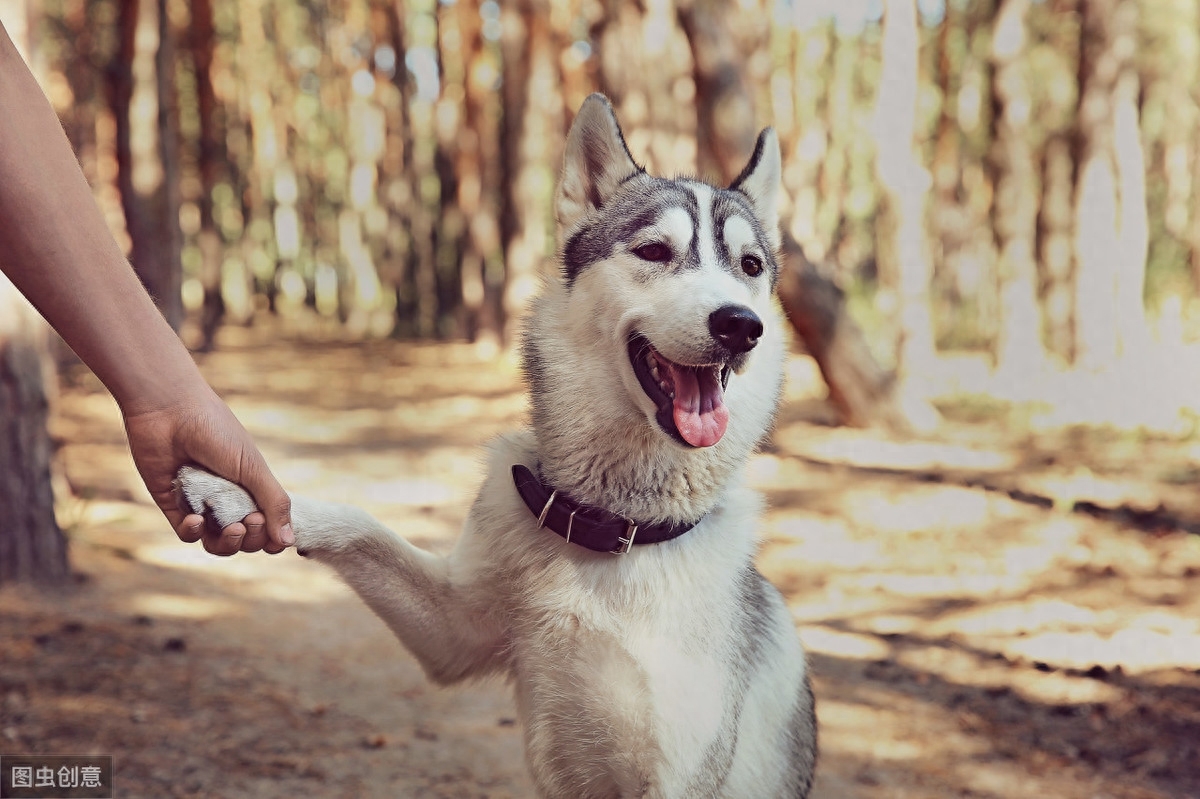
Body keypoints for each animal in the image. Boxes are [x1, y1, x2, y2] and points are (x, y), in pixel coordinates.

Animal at [177, 94, 816, 796]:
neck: (615, 527)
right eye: (654, 250)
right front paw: (235, 491)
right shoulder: (451, 631)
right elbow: (358, 524)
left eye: (750, 267)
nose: (741, 326)